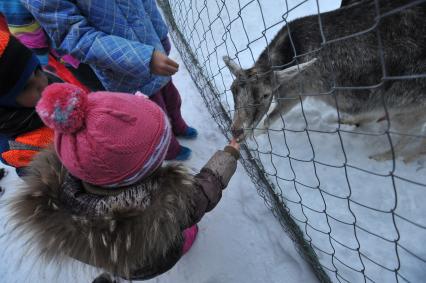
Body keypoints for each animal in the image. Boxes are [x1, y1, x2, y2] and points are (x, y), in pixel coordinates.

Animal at [225, 0, 424, 163]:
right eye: (232, 89)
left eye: (266, 95)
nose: (236, 130)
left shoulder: (296, 90)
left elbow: (268, 120)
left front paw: (254, 138)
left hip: (407, 101)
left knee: (413, 133)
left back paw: (386, 157)